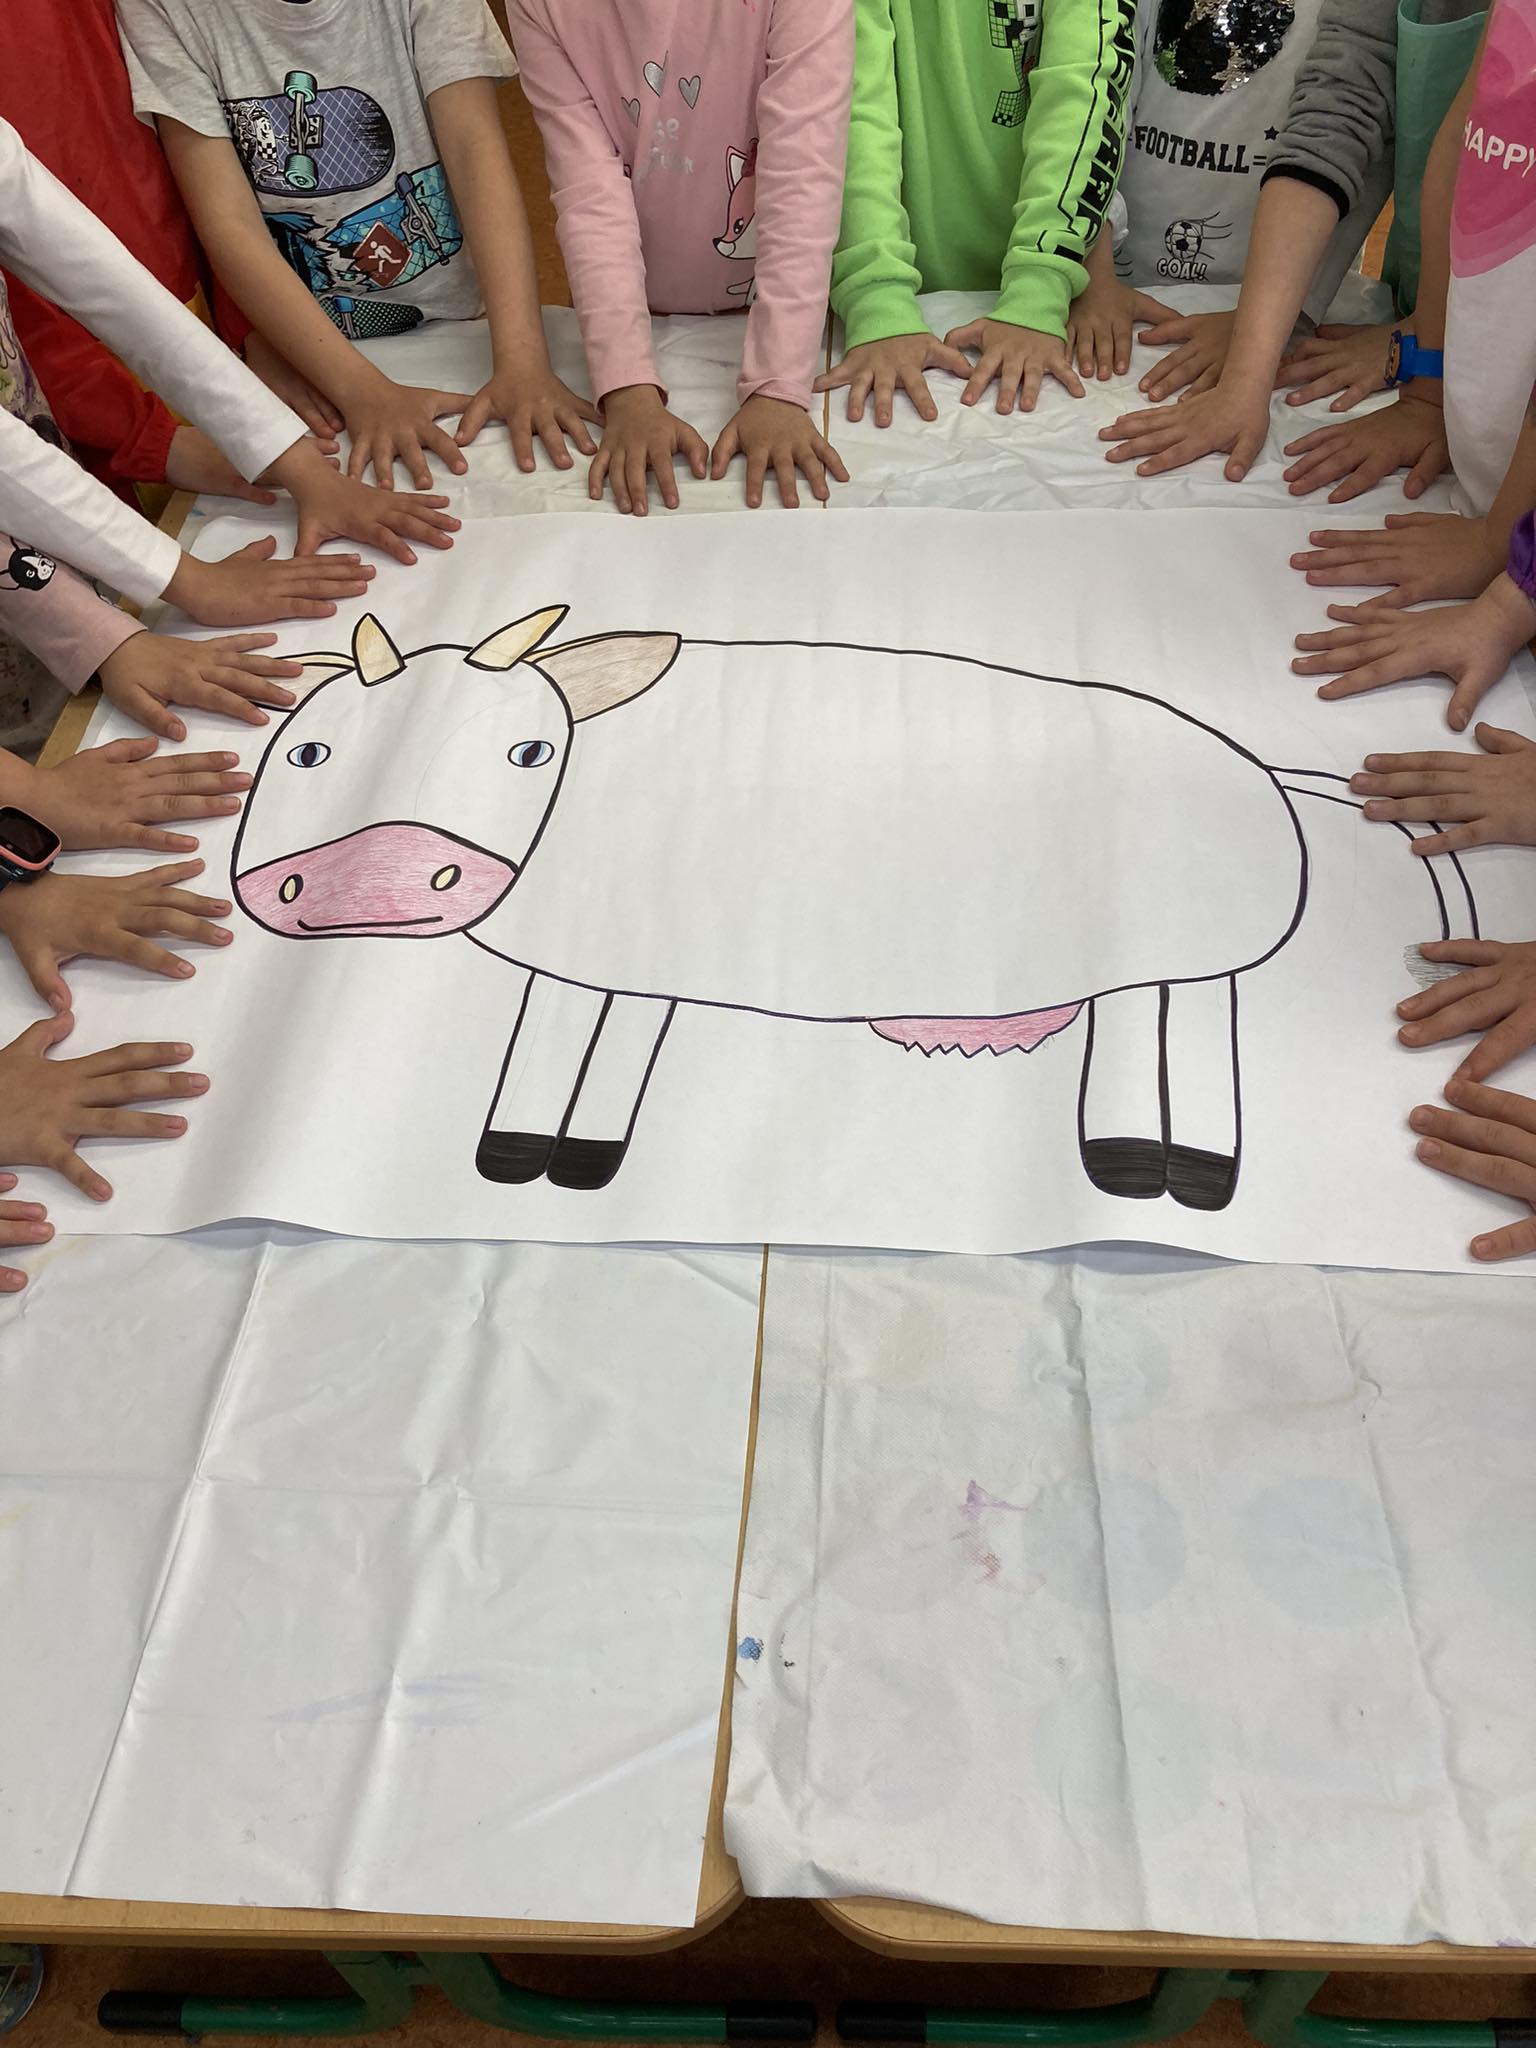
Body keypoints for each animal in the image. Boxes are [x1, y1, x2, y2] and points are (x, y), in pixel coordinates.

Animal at [232, 610, 1479, 1212]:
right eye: (305, 750)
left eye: (527, 749)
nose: (373, 874)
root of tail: (1266, 769)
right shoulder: (608, 958)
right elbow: (569, 1049)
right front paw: (543, 1164)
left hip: (1177, 953)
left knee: (1171, 1030)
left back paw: (1155, 1171)